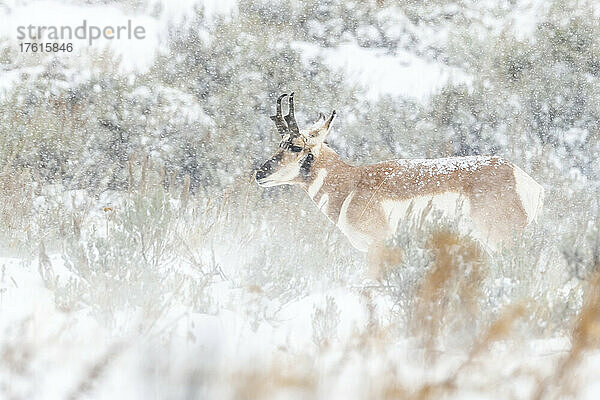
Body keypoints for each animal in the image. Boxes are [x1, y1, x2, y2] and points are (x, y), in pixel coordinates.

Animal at [255, 94, 548, 272]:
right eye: (279, 143)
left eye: (295, 146)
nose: (259, 173)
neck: (352, 183)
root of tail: (523, 179)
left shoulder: (377, 248)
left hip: (500, 240)